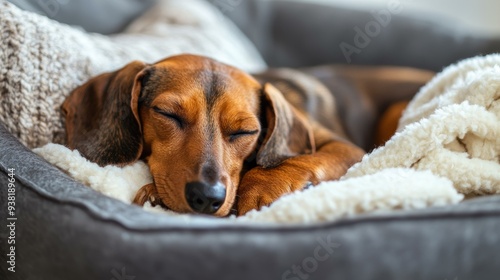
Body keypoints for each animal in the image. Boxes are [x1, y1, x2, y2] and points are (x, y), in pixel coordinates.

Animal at [60, 54, 432, 217]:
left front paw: (260, 188)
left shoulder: (348, 148)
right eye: (168, 114)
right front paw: (155, 193)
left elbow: (298, 161)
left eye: (246, 131)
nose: (207, 197)